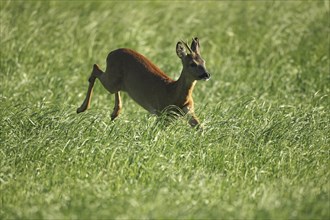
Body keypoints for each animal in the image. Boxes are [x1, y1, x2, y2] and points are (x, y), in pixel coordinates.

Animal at [76, 37, 210, 127]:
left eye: (203, 61)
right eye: (192, 64)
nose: (207, 74)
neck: (174, 92)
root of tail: (110, 53)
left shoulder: (188, 111)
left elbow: (200, 127)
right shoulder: (162, 112)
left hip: (116, 80)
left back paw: (115, 113)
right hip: (111, 81)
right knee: (95, 68)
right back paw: (81, 108)